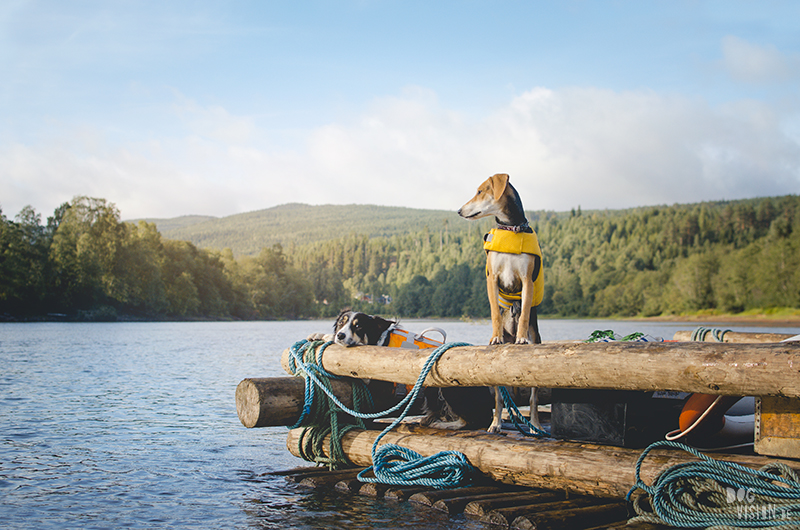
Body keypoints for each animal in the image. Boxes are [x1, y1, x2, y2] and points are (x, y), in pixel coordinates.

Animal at [308, 310, 490, 428]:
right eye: (341, 322)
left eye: (358, 326)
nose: (340, 335)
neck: (380, 341)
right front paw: (320, 335)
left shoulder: (378, 381)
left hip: (449, 385)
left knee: (472, 421)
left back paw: (442, 424)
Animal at [456, 173, 544, 434]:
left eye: (480, 191)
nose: (459, 211)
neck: (511, 228)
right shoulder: (492, 278)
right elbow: (495, 312)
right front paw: (496, 336)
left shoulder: (527, 280)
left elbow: (523, 313)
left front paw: (522, 337)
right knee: (498, 398)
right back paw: (495, 423)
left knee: (534, 398)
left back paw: (535, 424)